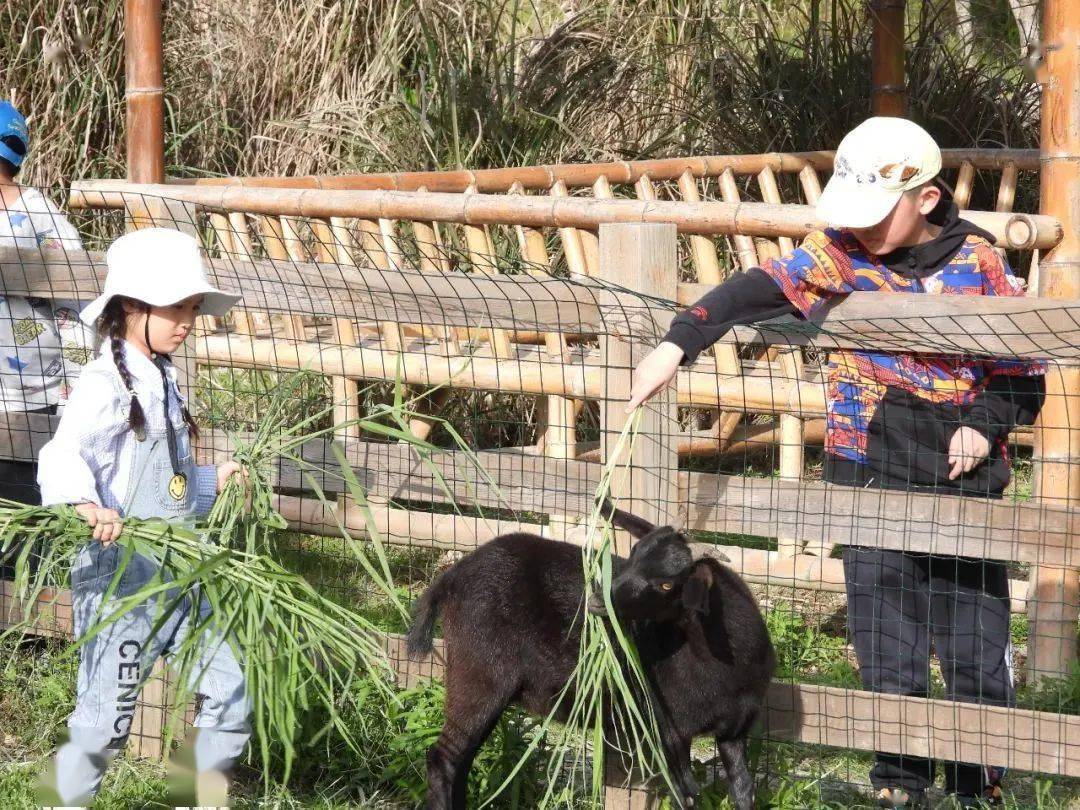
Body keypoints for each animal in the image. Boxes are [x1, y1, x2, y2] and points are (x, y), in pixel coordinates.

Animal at [406, 505, 777, 807]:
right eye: (633, 553)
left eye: (668, 584)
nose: (598, 598)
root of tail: (451, 576)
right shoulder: (668, 730)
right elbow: (686, 797)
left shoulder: (734, 731)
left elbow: (743, 791)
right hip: (478, 674)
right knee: (443, 758)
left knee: (462, 760)